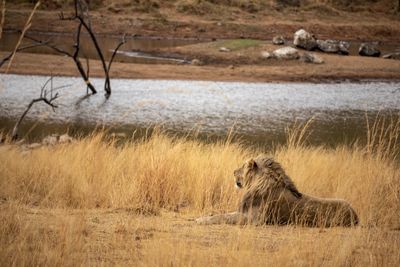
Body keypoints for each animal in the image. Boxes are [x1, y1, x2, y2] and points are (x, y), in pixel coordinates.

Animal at [197, 155, 360, 228]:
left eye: (243, 166)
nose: (233, 171)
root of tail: (356, 215)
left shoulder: (253, 219)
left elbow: (222, 217)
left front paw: (200, 220)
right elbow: (221, 213)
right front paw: (205, 215)